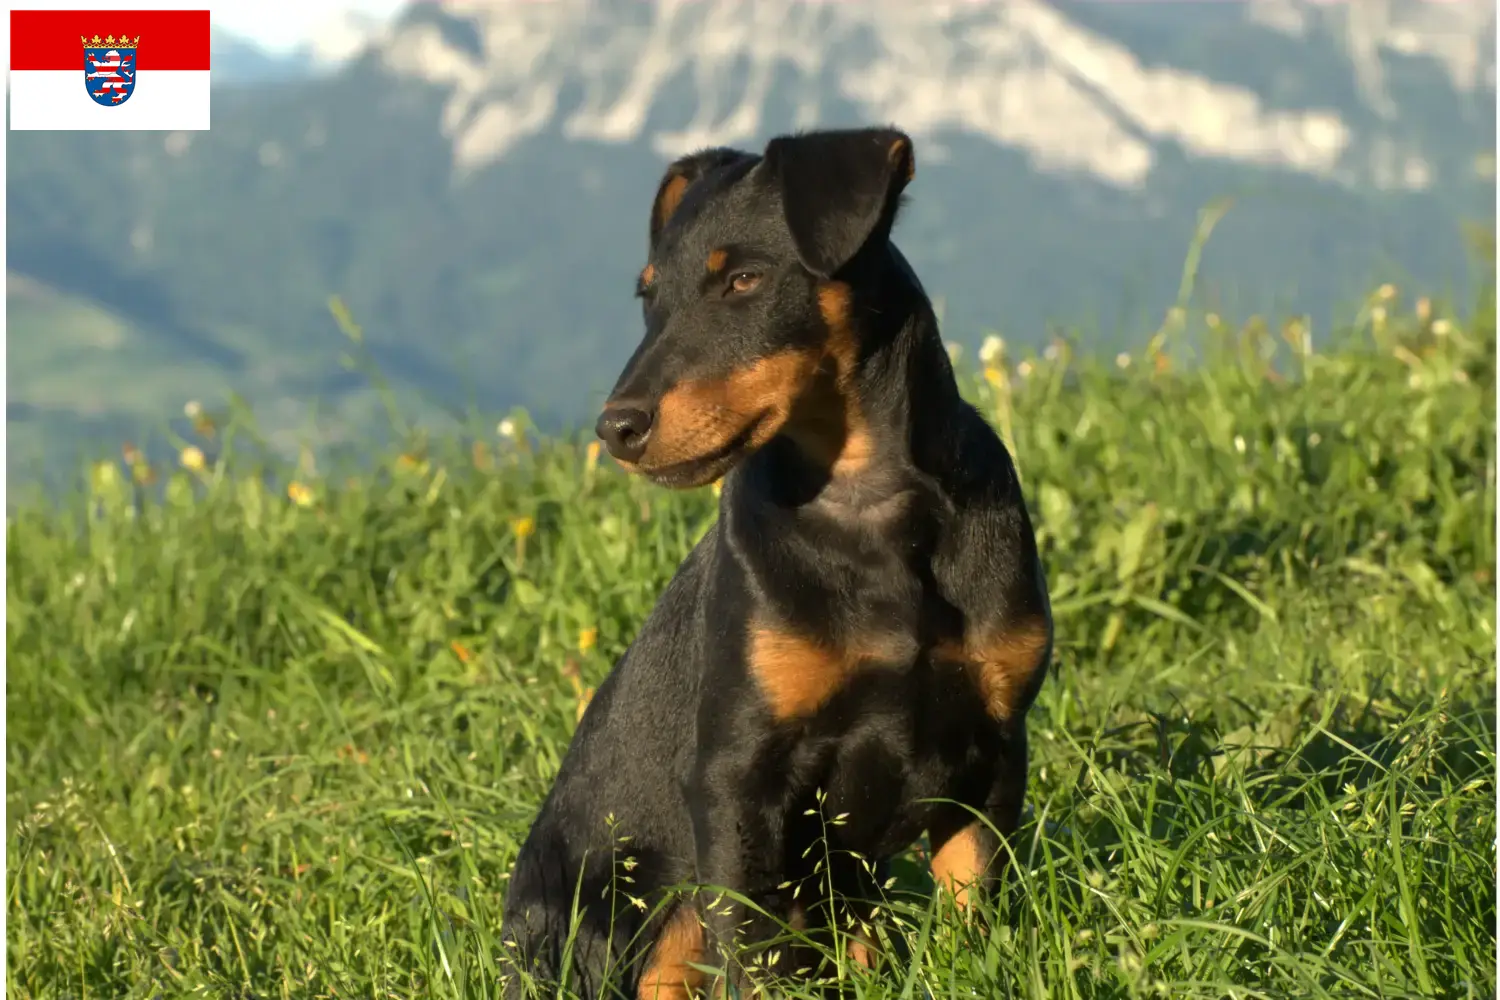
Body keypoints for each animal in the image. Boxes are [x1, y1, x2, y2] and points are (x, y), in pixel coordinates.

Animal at [498, 127, 1050, 1000]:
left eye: (745, 280)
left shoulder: (993, 748)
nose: (615, 428)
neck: (866, 502)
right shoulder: (738, 777)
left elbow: (973, 902)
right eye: (648, 297)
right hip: (626, 905)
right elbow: (759, 951)